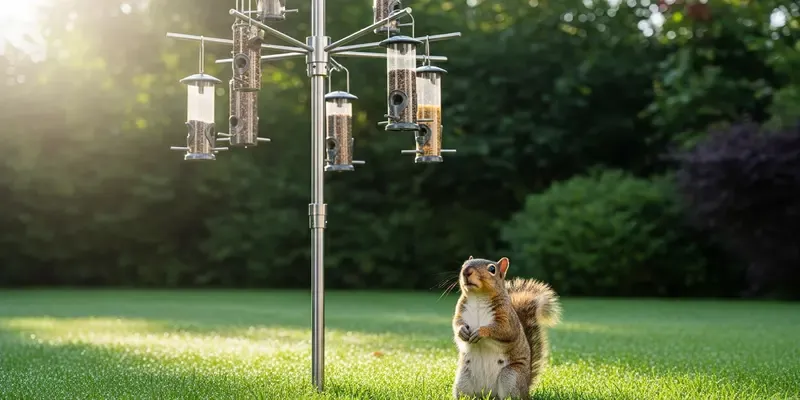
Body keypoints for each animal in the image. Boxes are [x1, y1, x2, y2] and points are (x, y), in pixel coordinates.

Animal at [451, 256, 561, 400]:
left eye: (492, 269)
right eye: (464, 265)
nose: (466, 271)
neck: (478, 297)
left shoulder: (508, 319)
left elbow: (505, 331)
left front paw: (481, 332)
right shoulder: (460, 312)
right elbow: (456, 323)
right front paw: (462, 331)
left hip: (511, 376)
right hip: (462, 380)